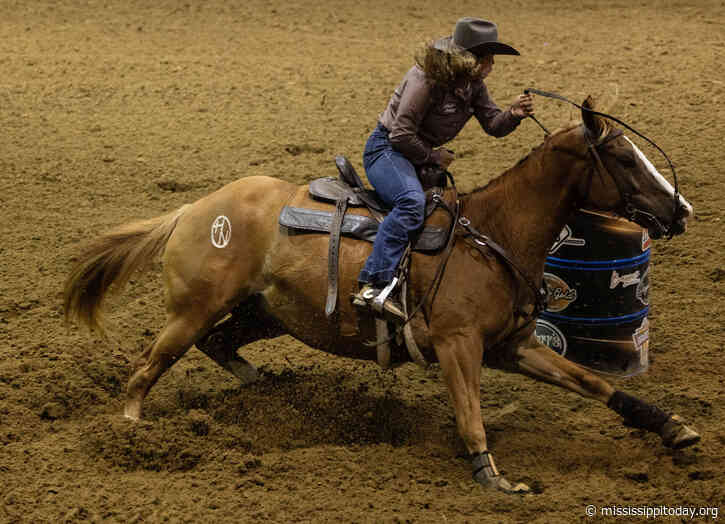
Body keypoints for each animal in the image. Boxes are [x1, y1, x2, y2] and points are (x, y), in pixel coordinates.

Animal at [64, 97, 698, 493]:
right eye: (623, 158)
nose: (682, 210)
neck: (491, 234)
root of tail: (194, 208)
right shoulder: (458, 345)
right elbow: (470, 413)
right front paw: (493, 476)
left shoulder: (513, 345)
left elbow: (595, 383)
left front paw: (674, 429)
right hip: (193, 310)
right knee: (148, 368)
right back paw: (131, 431)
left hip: (267, 312)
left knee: (220, 346)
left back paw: (273, 391)